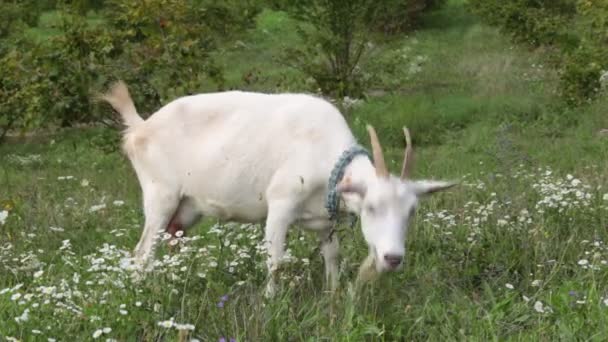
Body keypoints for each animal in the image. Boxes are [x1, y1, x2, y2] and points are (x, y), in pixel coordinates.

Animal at [102, 81, 454, 294]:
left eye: (412, 212)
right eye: (371, 207)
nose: (393, 258)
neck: (323, 150)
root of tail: (140, 129)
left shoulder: (325, 219)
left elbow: (332, 256)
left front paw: (333, 294)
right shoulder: (280, 206)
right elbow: (275, 259)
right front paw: (271, 300)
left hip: (186, 207)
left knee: (173, 238)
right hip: (160, 195)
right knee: (142, 253)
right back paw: (143, 292)